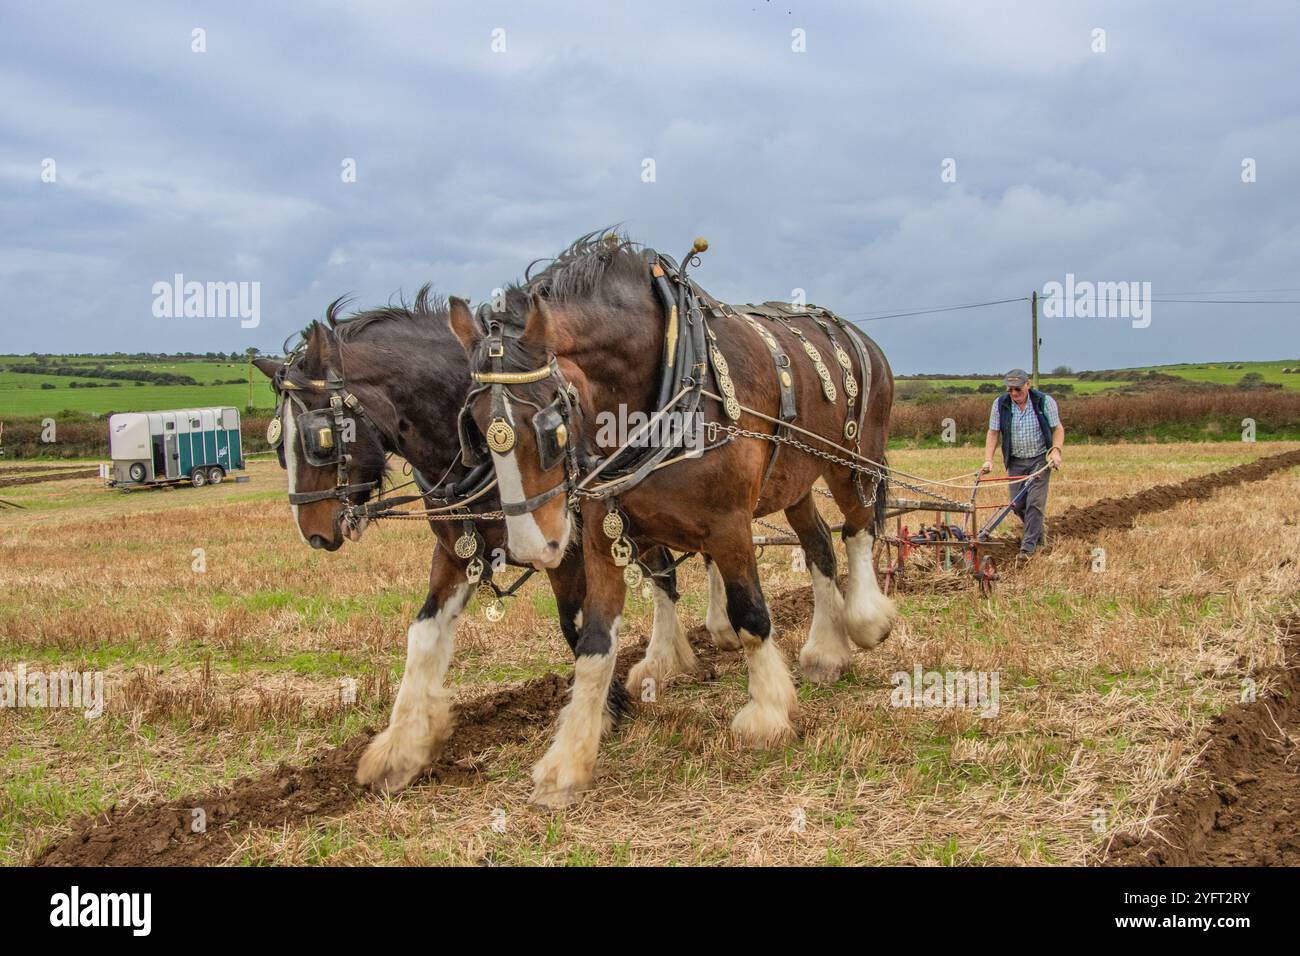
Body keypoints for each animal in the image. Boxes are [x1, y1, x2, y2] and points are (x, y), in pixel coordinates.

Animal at [253, 287, 697, 794]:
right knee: (665, 571)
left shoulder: (565, 549)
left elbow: (576, 626)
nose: (314, 532)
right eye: (277, 443)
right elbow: (423, 634)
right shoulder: (454, 552)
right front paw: (401, 748)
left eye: (320, 440)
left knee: (667, 571)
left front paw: (604, 712)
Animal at [449, 233, 896, 807]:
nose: (532, 547)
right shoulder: (601, 533)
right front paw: (568, 760)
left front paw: (768, 713)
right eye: (474, 430)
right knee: (818, 543)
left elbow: (752, 615)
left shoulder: (730, 523)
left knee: (857, 528)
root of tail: (861, 336)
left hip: (852, 459)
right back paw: (825, 651)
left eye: (551, 424)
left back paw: (865, 620)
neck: (664, 377)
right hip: (794, 480)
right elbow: (595, 642)